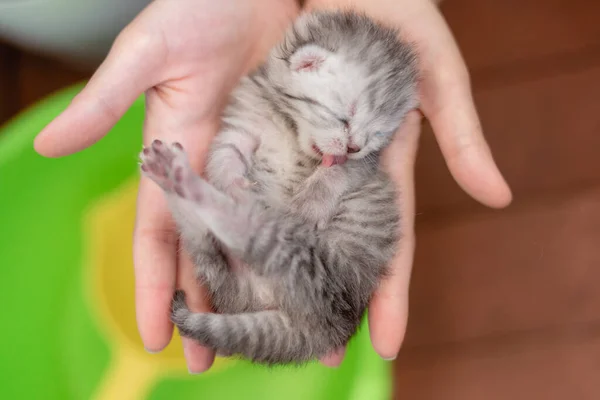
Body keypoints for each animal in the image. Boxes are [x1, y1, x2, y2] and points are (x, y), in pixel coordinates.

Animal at [139, 10, 420, 366]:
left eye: (378, 134)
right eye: (346, 117)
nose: (354, 147)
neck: (290, 126)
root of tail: (330, 327)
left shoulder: (364, 166)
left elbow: (337, 176)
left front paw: (307, 205)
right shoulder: (240, 125)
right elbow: (224, 156)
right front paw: (231, 182)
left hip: (306, 264)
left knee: (242, 232)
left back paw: (180, 176)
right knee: (209, 245)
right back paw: (174, 175)